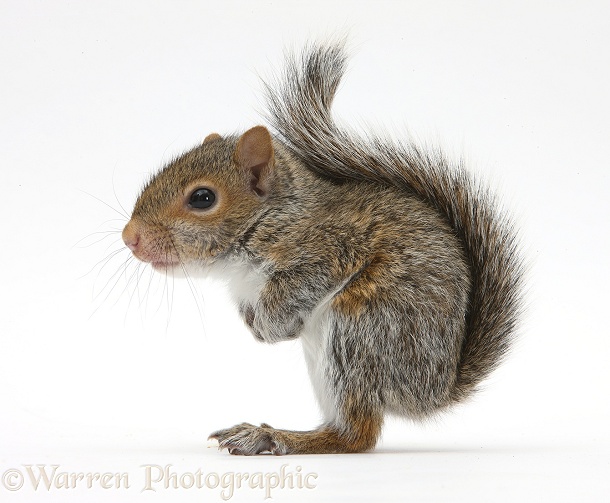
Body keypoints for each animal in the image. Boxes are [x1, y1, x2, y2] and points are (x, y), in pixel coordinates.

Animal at [120, 41, 524, 454]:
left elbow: (299, 287)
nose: (129, 237)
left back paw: (273, 437)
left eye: (202, 198)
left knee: (355, 436)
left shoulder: (331, 249)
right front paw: (256, 325)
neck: (273, 220)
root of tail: (432, 391)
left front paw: (271, 326)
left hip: (363, 330)